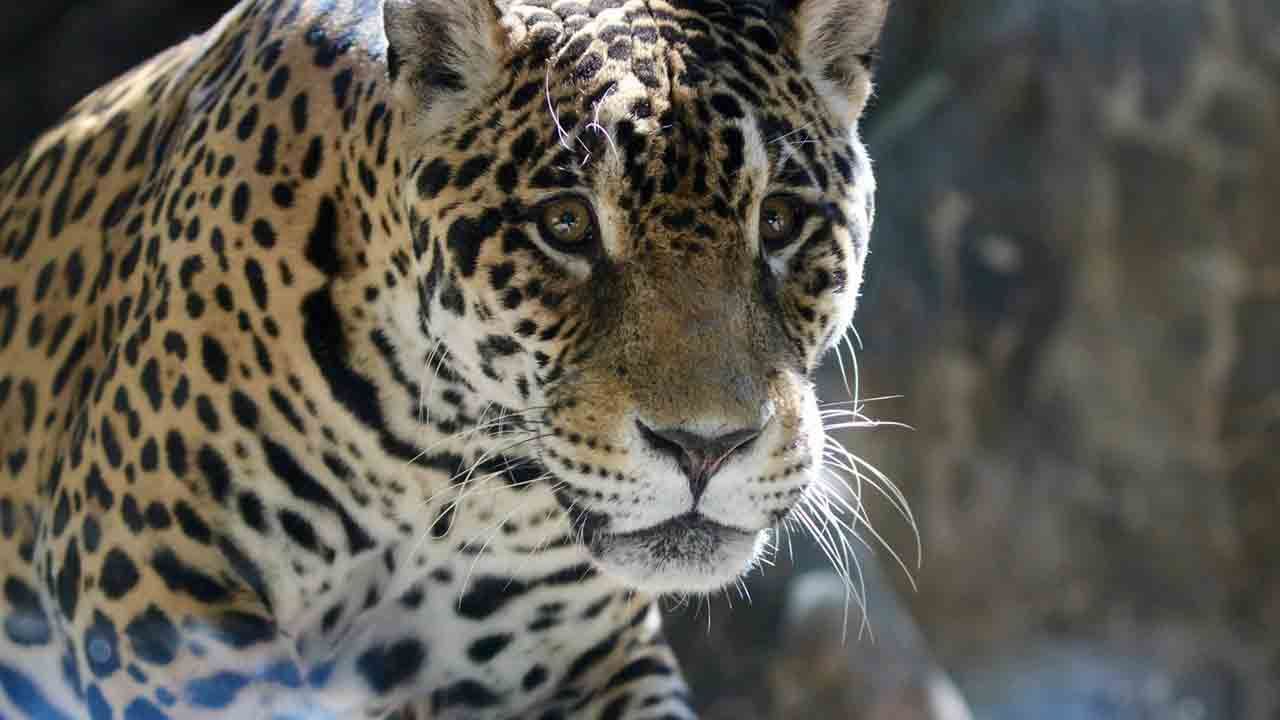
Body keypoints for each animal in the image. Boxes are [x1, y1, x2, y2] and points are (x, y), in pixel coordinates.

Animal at [0, 0, 889, 717]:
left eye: (779, 221)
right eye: (566, 224)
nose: (707, 447)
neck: (447, 459)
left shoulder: (579, 662)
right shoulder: (146, 591)